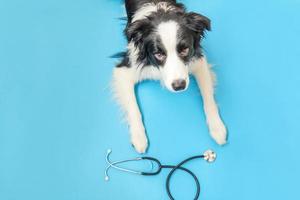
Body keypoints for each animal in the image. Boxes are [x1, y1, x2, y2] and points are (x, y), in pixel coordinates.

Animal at [112, 0, 227, 153]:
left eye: (185, 49)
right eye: (159, 54)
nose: (179, 86)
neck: (161, 12)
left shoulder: (198, 61)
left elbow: (208, 97)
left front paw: (217, 127)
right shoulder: (124, 70)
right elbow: (134, 108)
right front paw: (138, 137)